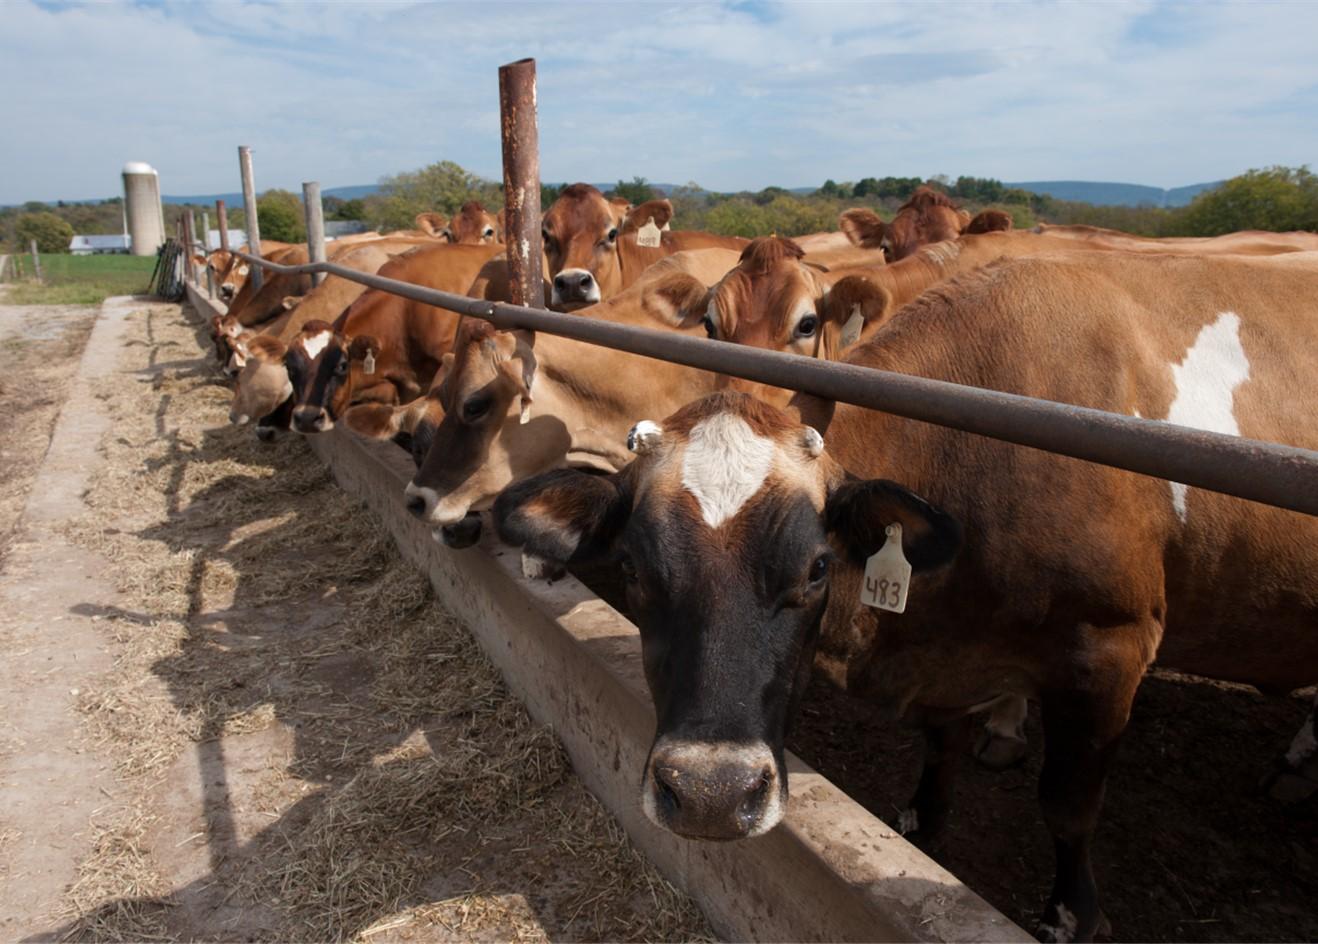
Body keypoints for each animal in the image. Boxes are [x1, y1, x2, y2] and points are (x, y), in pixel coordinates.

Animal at [492, 250, 1318, 944]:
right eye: (632, 565)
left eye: (819, 567)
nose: (710, 795)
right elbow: (940, 741)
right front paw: (923, 816)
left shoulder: (1111, 646)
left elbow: (1069, 803)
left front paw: (1071, 914)